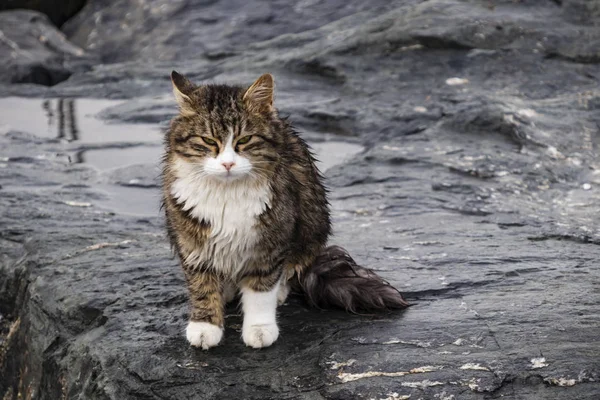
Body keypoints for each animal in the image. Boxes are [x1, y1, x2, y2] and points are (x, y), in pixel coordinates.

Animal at [162, 72, 410, 350]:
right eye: (207, 141)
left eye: (244, 140)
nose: (227, 164)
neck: (228, 194)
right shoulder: (191, 241)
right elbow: (202, 286)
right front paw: (205, 327)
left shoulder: (271, 242)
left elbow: (261, 289)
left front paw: (259, 328)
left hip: (311, 227)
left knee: (290, 269)